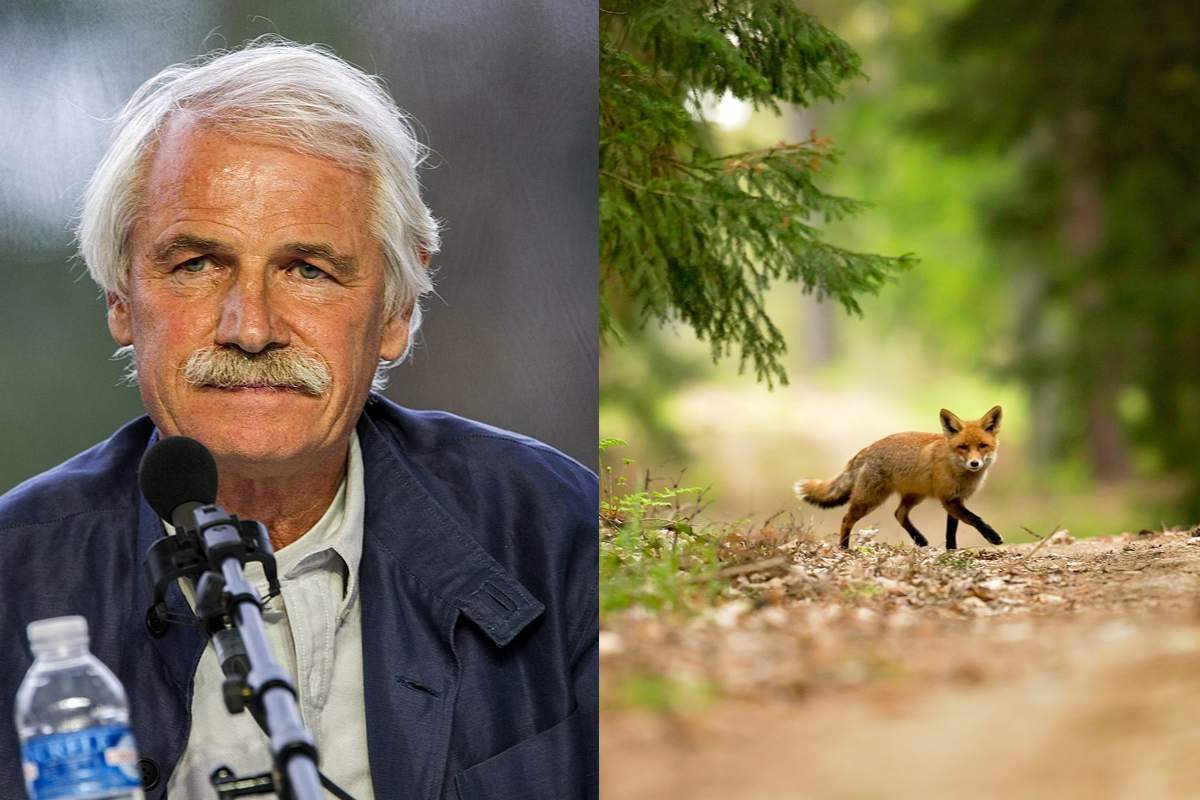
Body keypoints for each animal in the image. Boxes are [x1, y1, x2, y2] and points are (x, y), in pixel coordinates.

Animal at [796, 407, 1003, 551]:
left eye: (983, 446)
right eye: (963, 447)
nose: (975, 463)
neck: (959, 471)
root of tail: (869, 448)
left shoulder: (955, 500)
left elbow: (951, 530)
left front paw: (951, 550)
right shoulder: (949, 500)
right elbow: (974, 519)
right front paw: (992, 537)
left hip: (914, 495)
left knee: (899, 513)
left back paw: (920, 540)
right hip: (870, 499)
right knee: (847, 519)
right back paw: (844, 548)